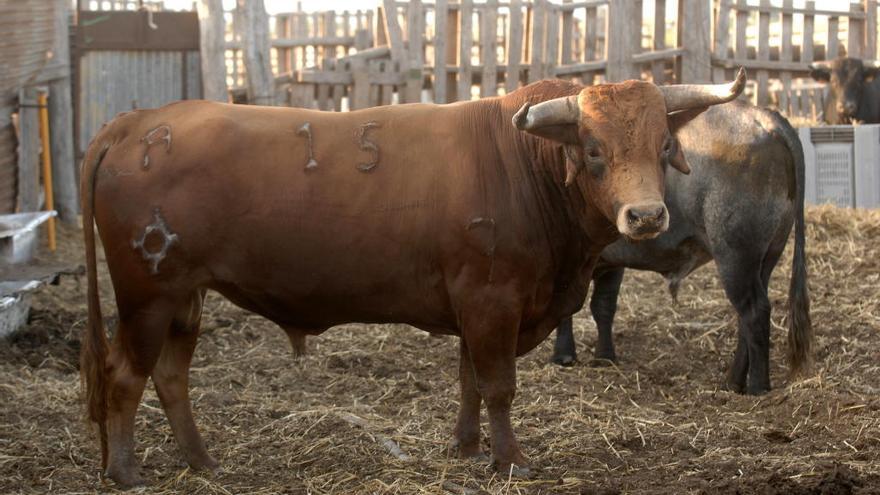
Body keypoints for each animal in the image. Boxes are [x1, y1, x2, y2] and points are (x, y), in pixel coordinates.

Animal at [81, 70, 744, 488]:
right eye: (594, 150)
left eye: (663, 144)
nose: (646, 216)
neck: (522, 162)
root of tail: (142, 121)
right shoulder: (492, 300)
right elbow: (498, 385)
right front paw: (510, 460)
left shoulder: (477, 306)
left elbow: (470, 381)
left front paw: (468, 448)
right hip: (147, 295)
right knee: (125, 374)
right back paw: (126, 471)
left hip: (184, 298)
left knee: (170, 375)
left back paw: (201, 462)